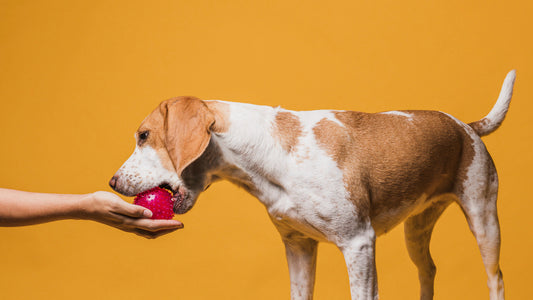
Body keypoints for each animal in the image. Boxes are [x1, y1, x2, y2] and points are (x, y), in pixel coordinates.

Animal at [109, 71, 516, 300]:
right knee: (428, 270)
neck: (275, 155)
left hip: (484, 221)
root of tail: (466, 126)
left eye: (144, 136)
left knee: (496, 278)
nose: (112, 181)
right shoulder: (299, 247)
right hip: (416, 232)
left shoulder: (359, 245)